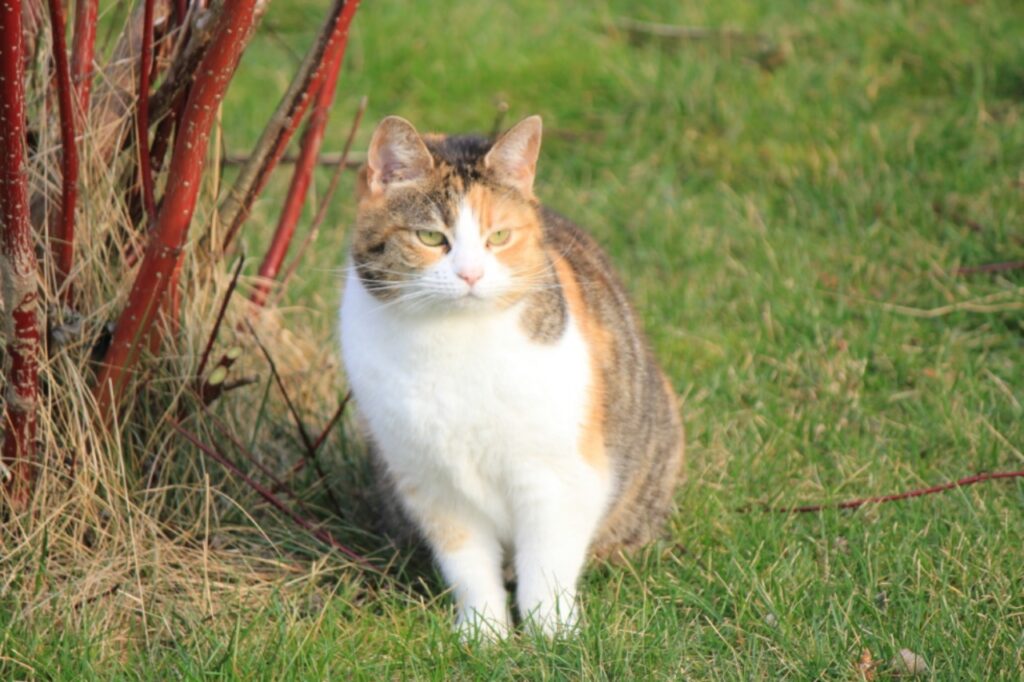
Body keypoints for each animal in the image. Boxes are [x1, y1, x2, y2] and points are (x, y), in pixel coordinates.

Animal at [339, 112, 684, 638]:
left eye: (498, 237)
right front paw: (484, 634)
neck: (450, 344)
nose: (470, 275)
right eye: (430, 238)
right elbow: (467, 566)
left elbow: (547, 564)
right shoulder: (430, 484)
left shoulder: (559, 476)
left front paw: (553, 636)